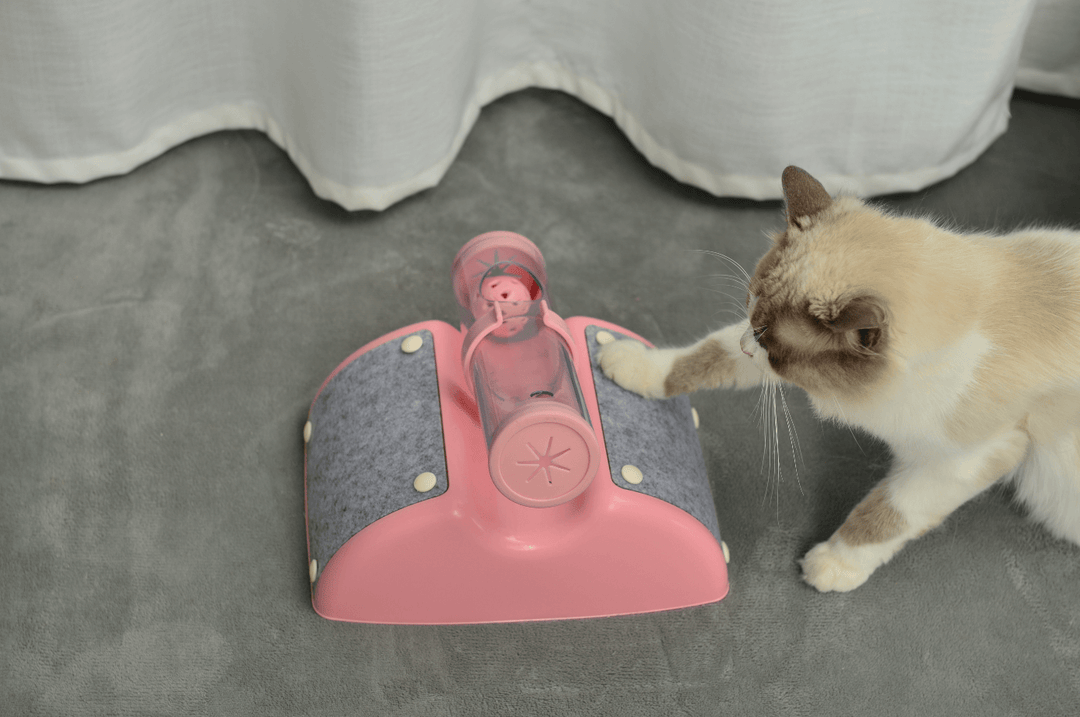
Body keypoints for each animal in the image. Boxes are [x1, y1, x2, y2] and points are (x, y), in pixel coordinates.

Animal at [600, 168, 1080, 591]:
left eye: (766, 339)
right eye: (752, 319)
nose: (748, 344)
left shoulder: (964, 461)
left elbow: (885, 515)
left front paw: (832, 566)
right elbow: (701, 357)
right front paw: (626, 363)